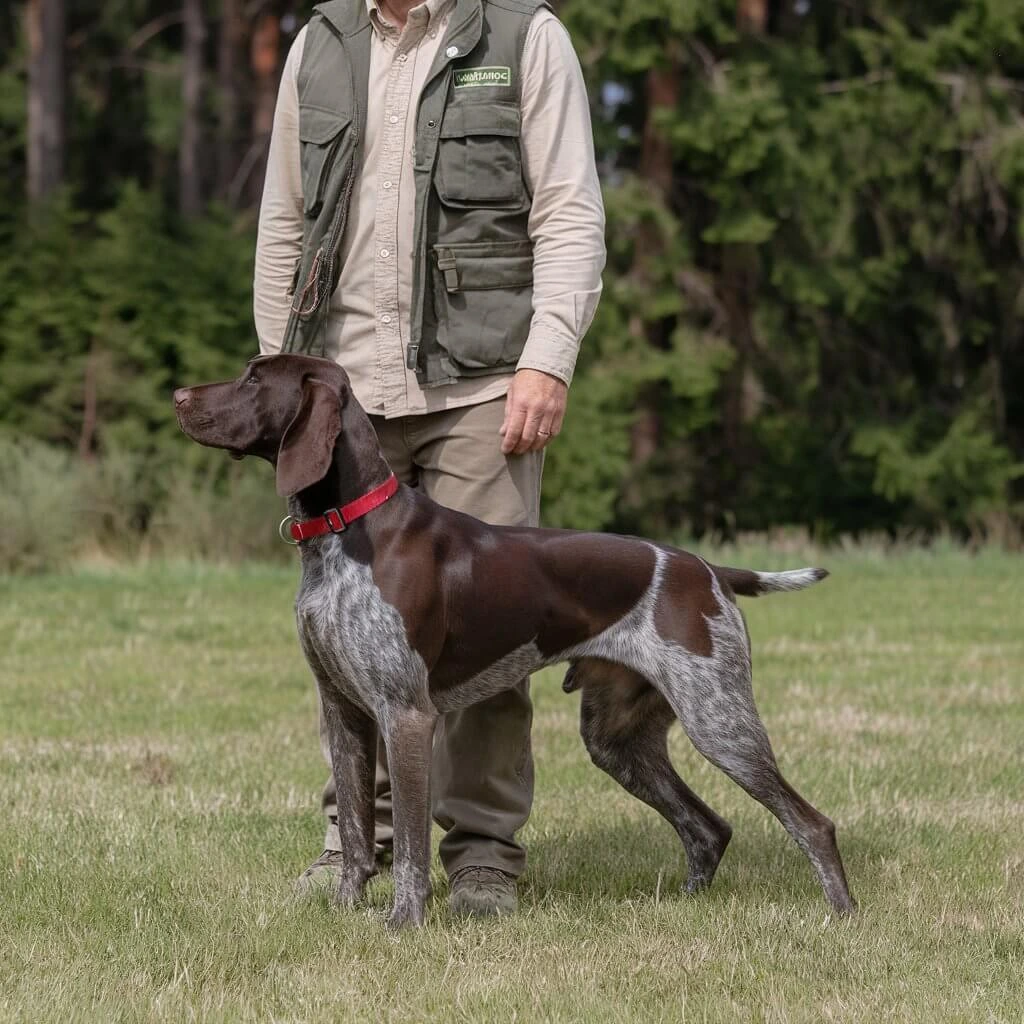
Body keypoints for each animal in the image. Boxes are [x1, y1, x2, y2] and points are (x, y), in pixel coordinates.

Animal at [176, 352, 856, 929]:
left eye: (255, 379)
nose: (179, 395)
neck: (350, 531)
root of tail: (708, 569)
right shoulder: (344, 712)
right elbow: (356, 835)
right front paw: (345, 910)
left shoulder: (406, 714)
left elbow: (413, 848)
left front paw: (404, 924)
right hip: (618, 740)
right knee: (708, 828)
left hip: (720, 721)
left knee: (812, 824)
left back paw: (842, 915)